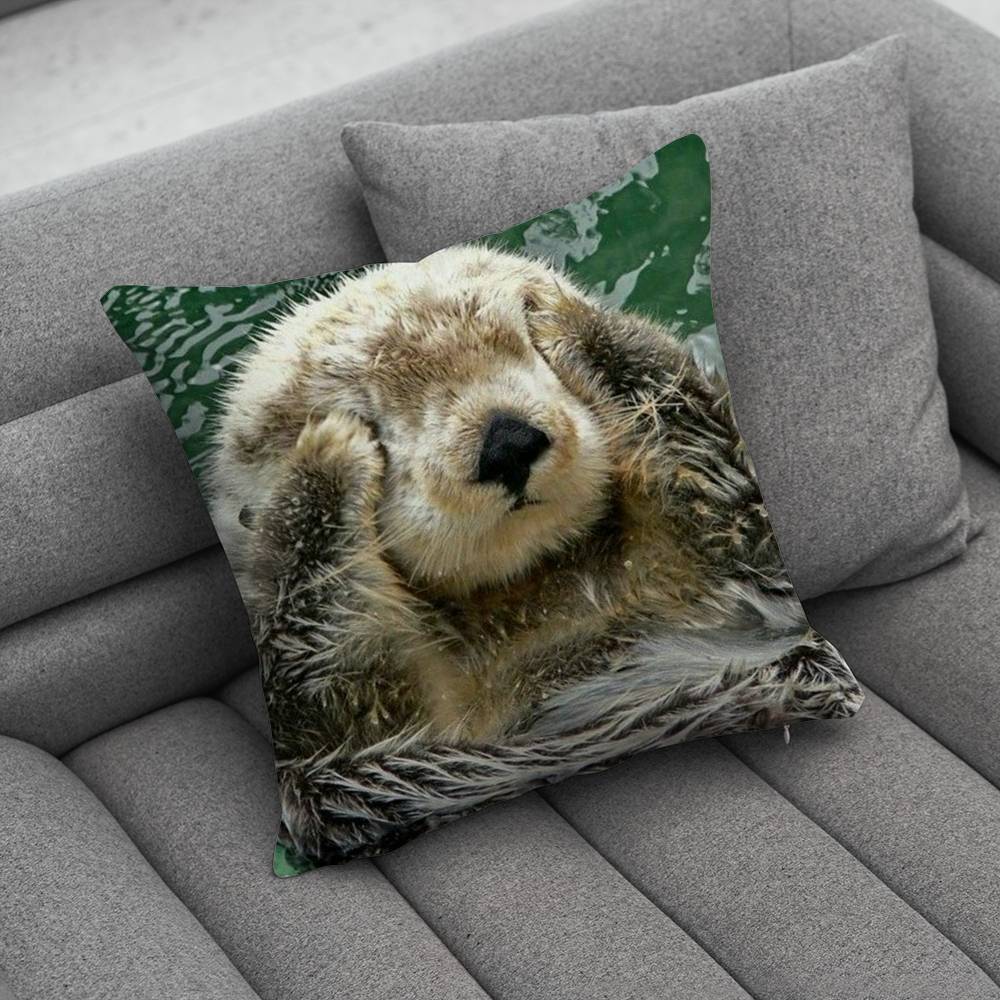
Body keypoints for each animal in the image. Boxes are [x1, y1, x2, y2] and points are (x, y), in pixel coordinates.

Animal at [209, 245, 861, 863]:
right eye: (372, 414)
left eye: (520, 347)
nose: (506, 442)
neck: (541, 595)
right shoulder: (344, 766)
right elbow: (328, 666)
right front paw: (326, 456)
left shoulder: (734, 557)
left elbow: (719, 470)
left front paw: (558, 312)